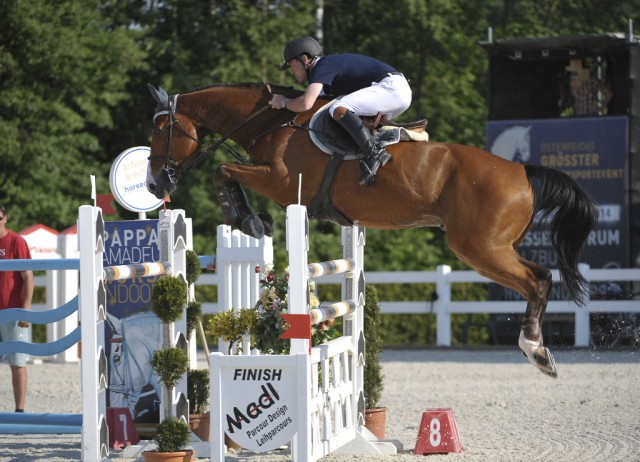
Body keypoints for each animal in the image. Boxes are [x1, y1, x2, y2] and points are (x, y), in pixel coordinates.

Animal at [146, 84, 600, 378]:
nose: (153, 185)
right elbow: (226, 171)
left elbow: (224, 170)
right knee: (538, 279)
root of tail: (521, 171)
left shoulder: (280, 181)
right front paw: (250, 218)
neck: (273, 122)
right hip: (491, 247)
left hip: (480, 247)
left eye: (159, 131)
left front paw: (247, 218)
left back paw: (537, 351)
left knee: (538, 279)